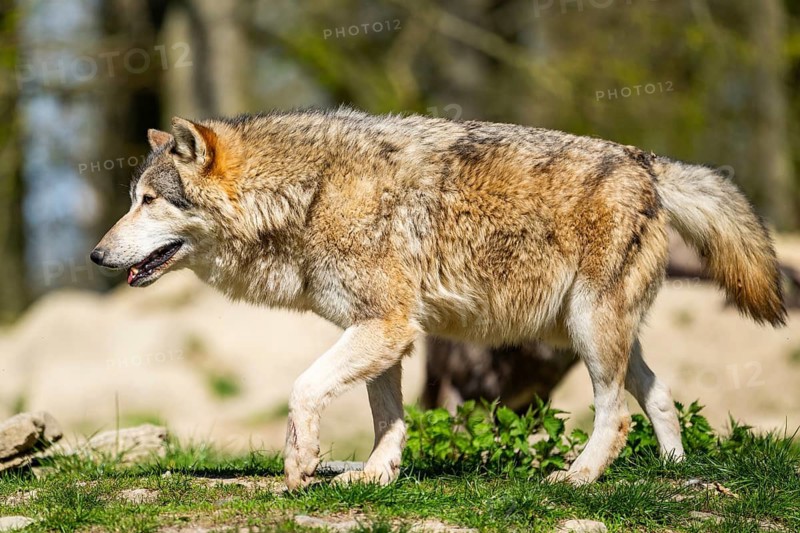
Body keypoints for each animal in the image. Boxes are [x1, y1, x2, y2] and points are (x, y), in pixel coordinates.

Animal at [91, 108, 786, 490]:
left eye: (148, 201)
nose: (96, 256)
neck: (307, 194)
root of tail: (647, 162)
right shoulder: (384, 333)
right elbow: (389, 418)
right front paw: (375, 476)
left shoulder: (384, 327)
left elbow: (302, 388)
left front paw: (302, 463)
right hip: (591, 332)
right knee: (659, 393)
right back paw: (671, 469)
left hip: (588, 333)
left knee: (615, 414)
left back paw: (581, 477)